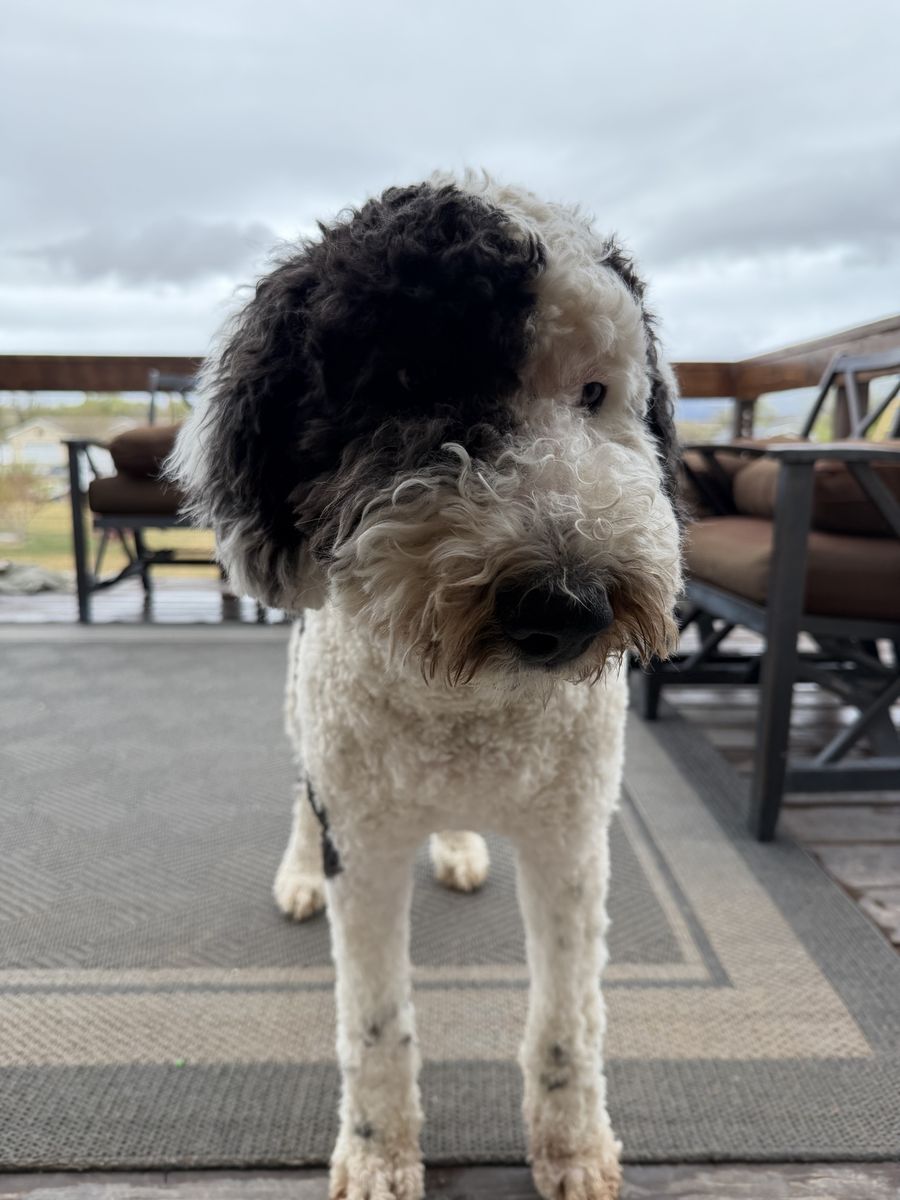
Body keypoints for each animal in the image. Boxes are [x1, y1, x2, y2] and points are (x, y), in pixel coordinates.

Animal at [168, 173, 682, 1200]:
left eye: (596, 393)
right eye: (407, 386)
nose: (568, 605)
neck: (468, 708)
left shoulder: (570, 844)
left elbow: (567, 1021)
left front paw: (573, 1148)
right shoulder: (364, 849)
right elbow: (376, 1026)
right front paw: (377, 1153)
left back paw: (456, 845)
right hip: (303, 723)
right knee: (299, 800)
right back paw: (298, 873)